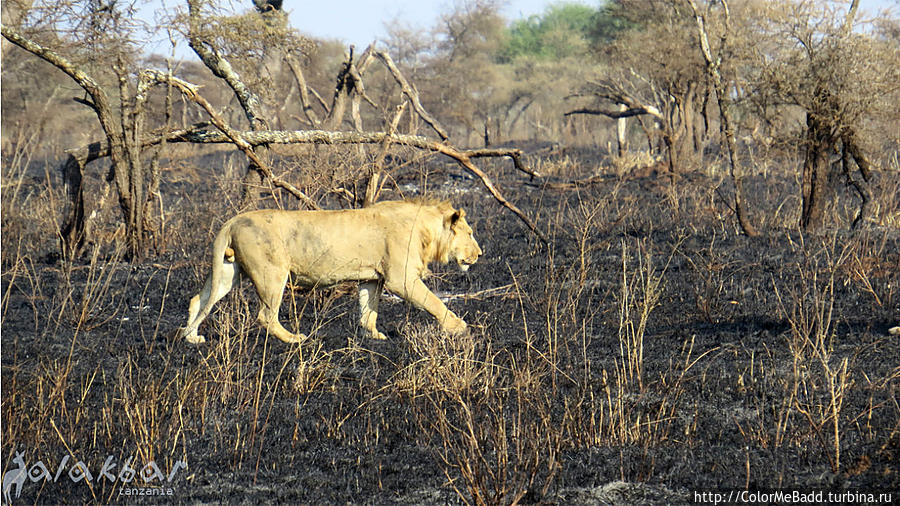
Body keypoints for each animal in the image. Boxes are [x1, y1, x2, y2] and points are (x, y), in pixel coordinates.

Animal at [178, 198, 482, 344]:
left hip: (229, 270)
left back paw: (192, 337)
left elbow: (368, 311)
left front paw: (374, 335)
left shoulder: (372, 279)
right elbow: (434, 302)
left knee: (198, 300)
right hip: (272, 273)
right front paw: (458, 327)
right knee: (265, 315)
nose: (480, 254)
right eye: (469, 233)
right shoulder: (401, 279)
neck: (428, 232)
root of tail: (232, 220)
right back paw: (294, 339)